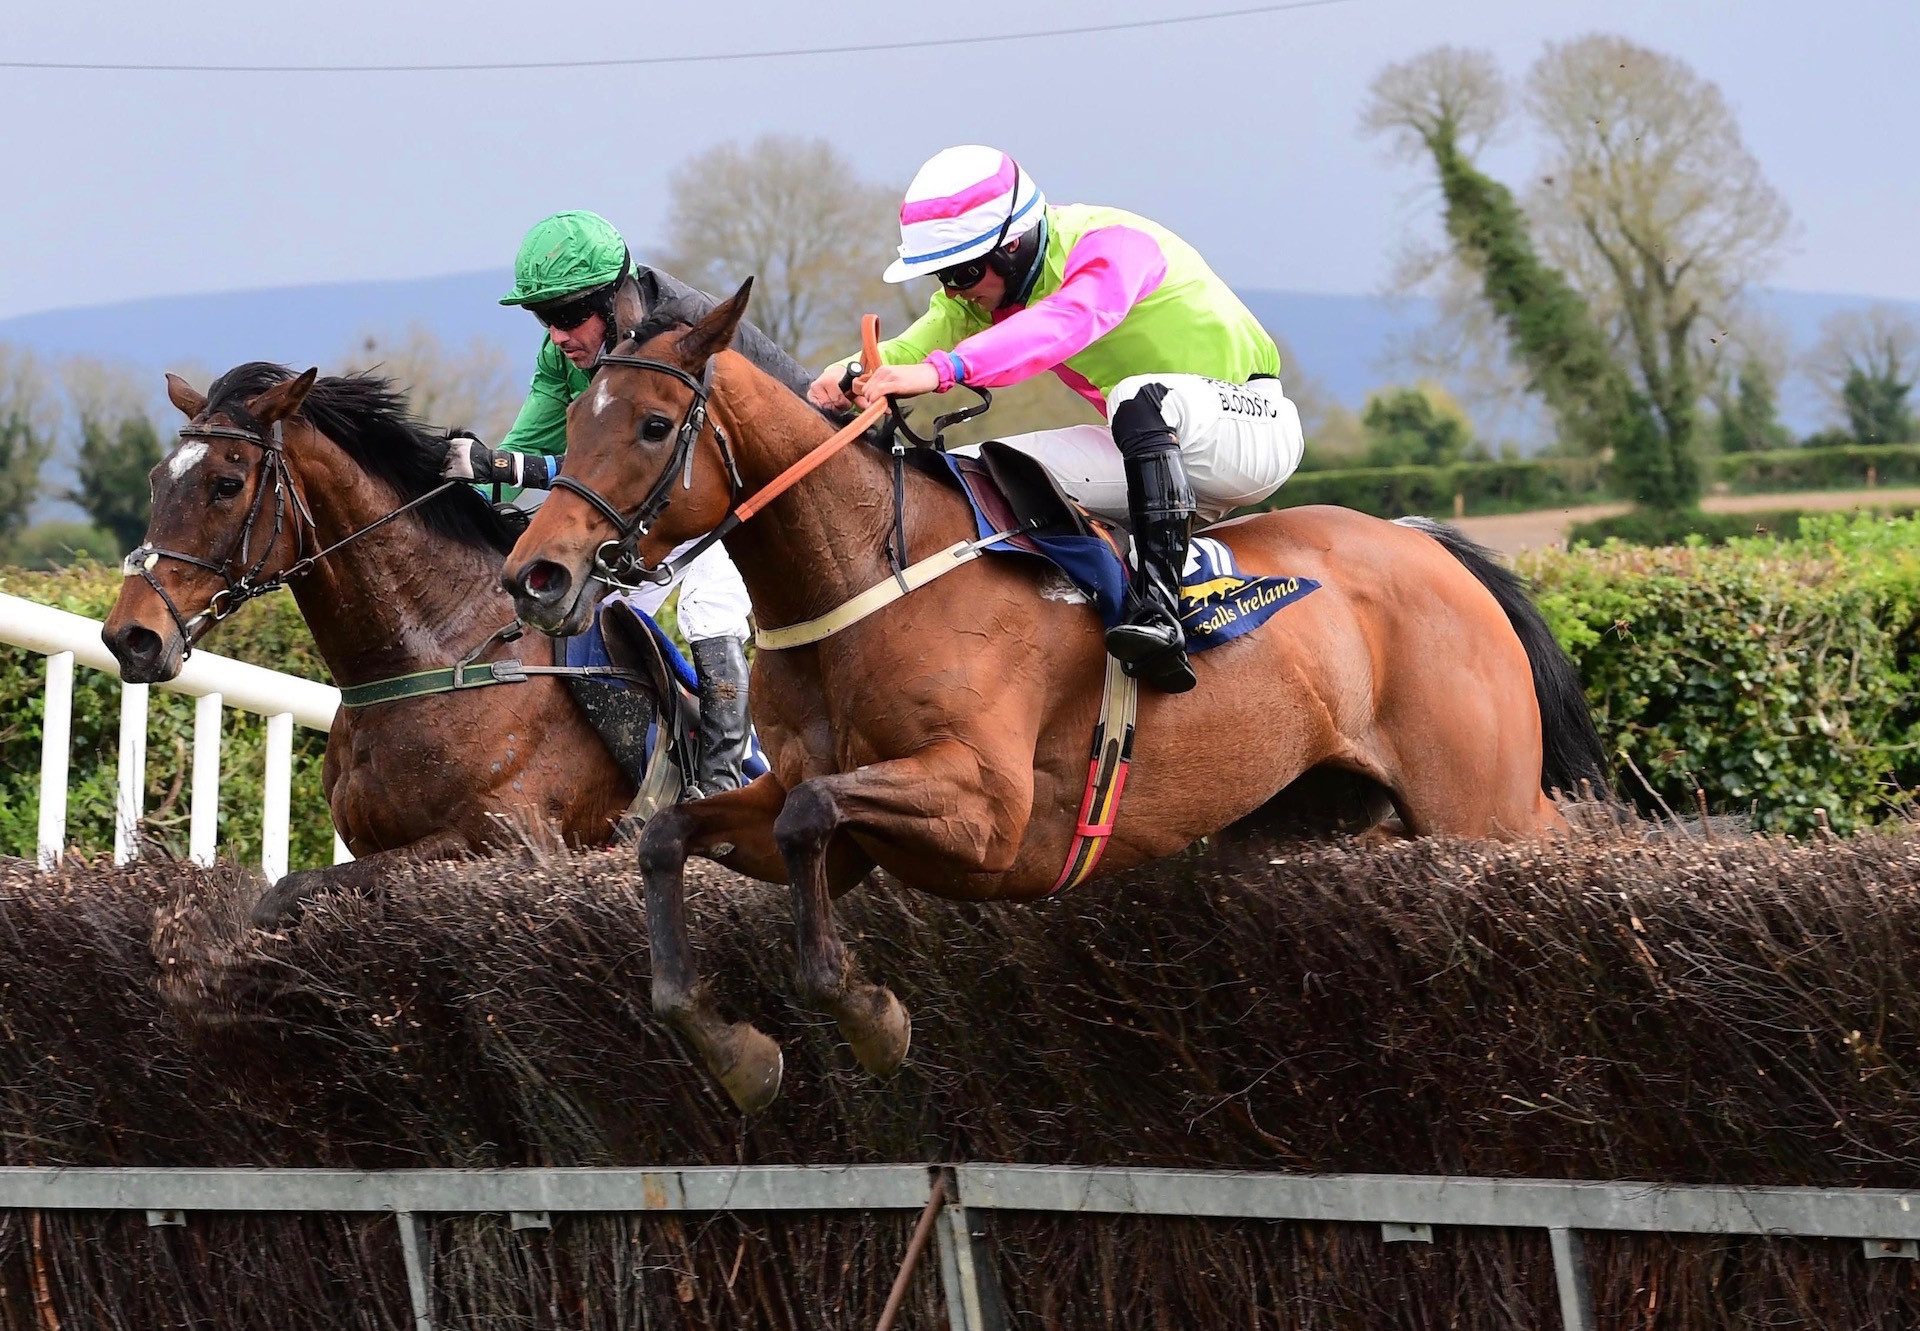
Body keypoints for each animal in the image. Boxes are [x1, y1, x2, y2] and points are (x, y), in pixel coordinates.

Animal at [101, 363, 641, 925]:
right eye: (157, 479)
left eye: (227, 485)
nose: (130, 637)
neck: (436, 657)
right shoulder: (369, 843)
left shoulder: (517, 846)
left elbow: (289, 889)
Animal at [499, 282, 1605, 1113]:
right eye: (572, 417)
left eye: (653, 425)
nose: (536, 575)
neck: (866, 577)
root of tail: (1429, 541)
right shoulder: (815, 819)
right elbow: (672, 837)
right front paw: (739, 1054)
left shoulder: (989, 813)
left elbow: (815, 819)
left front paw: (870, 1018)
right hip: (1329, 813)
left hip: (1481, 805)